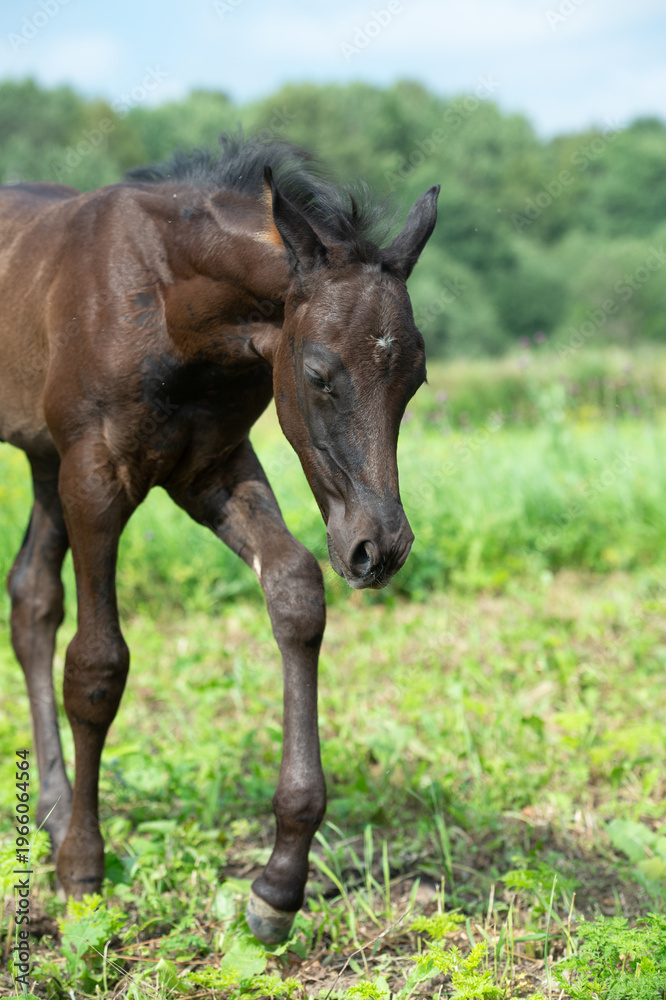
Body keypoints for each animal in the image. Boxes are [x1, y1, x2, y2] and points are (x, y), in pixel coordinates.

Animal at [0, 133, 438, 944]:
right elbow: (97, 666)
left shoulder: (212, 468)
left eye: (415, 379)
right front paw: (82, 871)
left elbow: (296, 591)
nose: (379, 548)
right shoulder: (95, 478)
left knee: (32, 596)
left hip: (44, 457)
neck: (169, 302)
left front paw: (278, 885)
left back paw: (49, 804)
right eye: (319, 373)